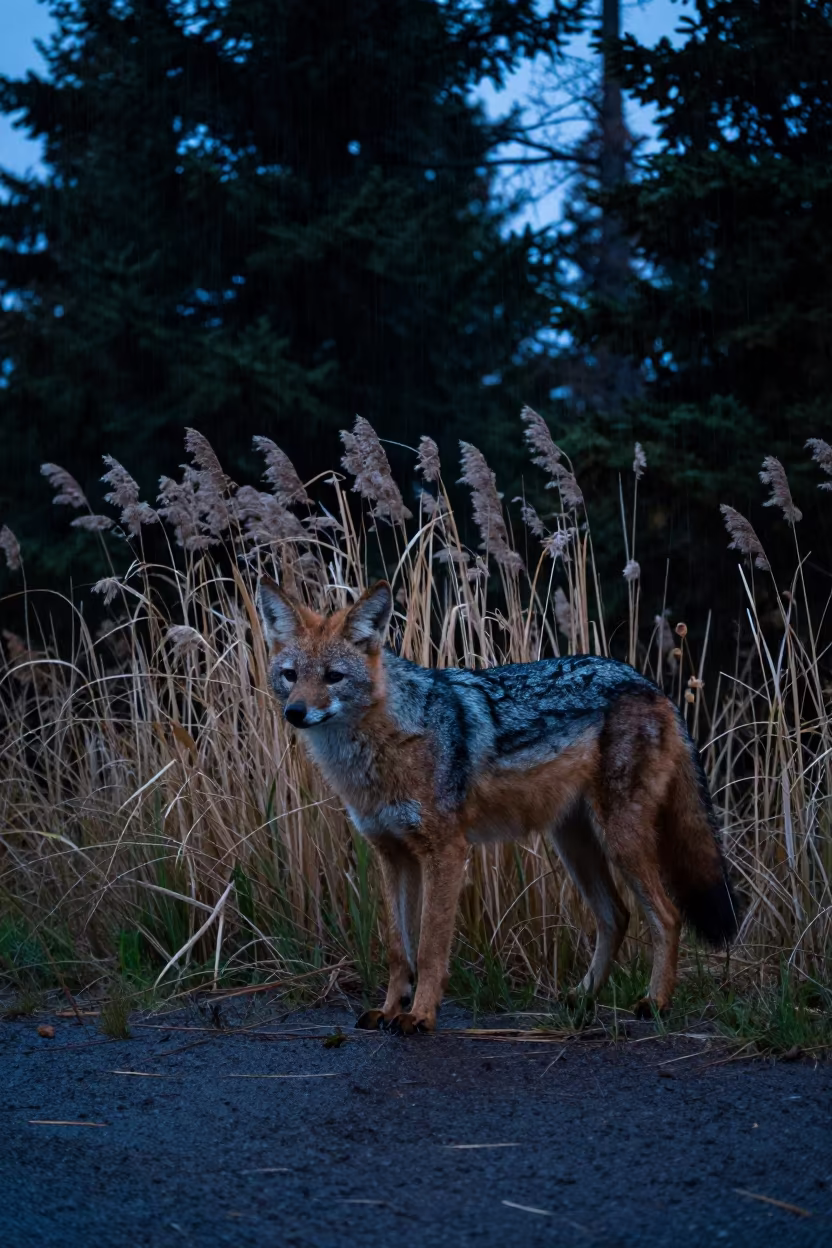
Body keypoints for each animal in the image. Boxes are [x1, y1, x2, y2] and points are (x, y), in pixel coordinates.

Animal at [257, 577, 738, 1034]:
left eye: (333, 677)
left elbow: (429, 948)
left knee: (667, 916)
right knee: (616, 916)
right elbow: (398, 949)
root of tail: (650, 684)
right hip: (575, 846)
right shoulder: (394, 856)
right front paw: (390, 1010)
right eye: (291, 675)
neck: (386, 744)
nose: (295, 712)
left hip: (621, 842)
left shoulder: (446, 851)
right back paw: (581, 998)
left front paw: (420, 1016)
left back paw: (655, 1003)